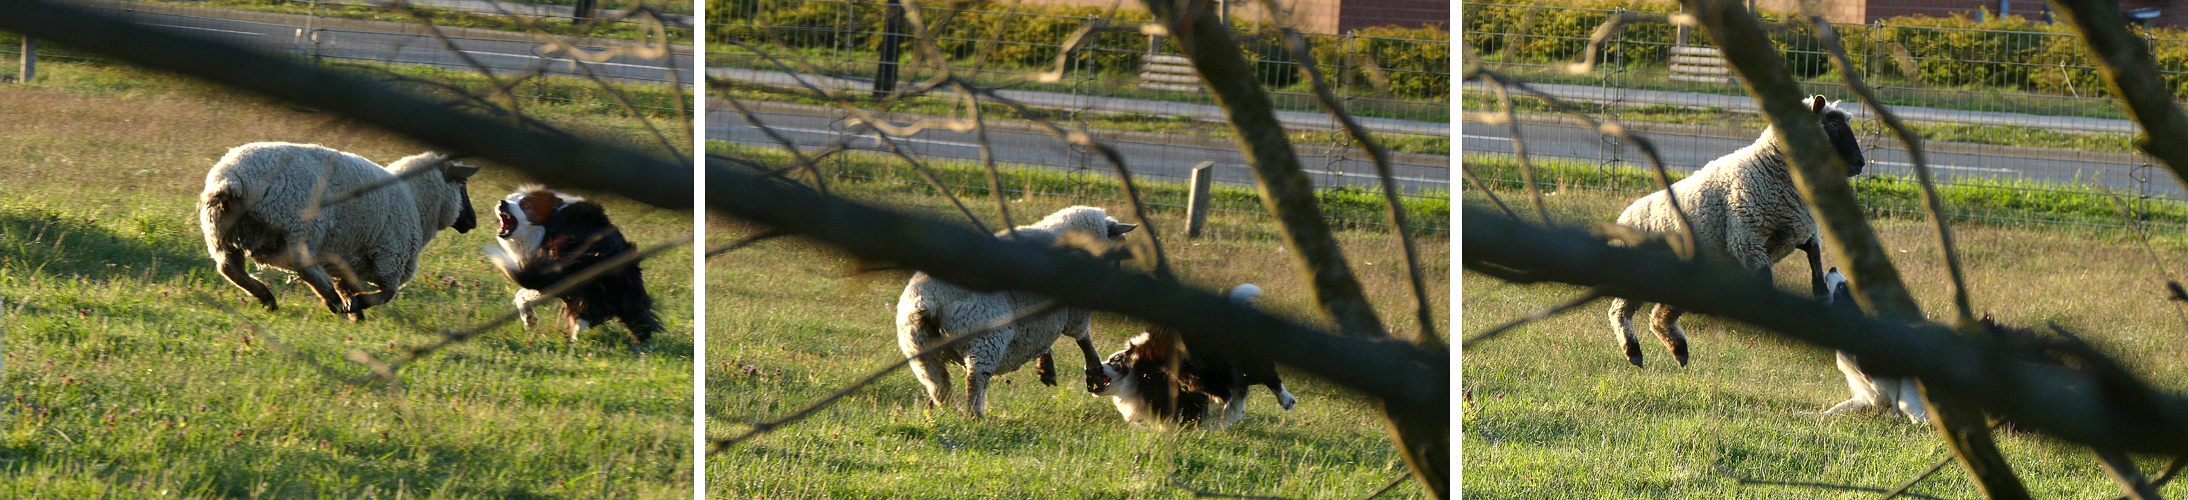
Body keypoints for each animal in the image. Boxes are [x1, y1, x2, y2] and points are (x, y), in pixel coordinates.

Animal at [200, 141, 479, 320]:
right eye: (462, 183)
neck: (416, 201)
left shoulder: (350, 265)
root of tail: (230, 180)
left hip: (221, 231)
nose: (473, 222)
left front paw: (356, 314)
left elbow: (352, 288)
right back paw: (329, 299)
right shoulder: (390, 257)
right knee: (301, 263)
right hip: (300, 226)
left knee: (229, 267)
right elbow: (386, 294)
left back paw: (267, 297)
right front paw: (354, 306)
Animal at [897, 205, 1146, 417]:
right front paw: (1093, 369)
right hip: (984, 339)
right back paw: (975, 416)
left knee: (939, 387)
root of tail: (925, 301)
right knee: (975, 381)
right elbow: (1084, 338)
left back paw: (951, 413)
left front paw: (1046, 367)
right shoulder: (1076, 309)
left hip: (920, 352)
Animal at [1610, 94, 1864, 366]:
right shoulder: (1746, 238)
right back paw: (1633, 351)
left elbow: (1815, 255)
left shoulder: (1798, 228)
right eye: (1833, 124)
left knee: (1659, 314)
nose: (1860, 164)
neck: (1771, 171)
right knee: (1618, 310)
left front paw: (1821, 292)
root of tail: (1623, 218)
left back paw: (1679, 350)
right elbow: (1766, 281)